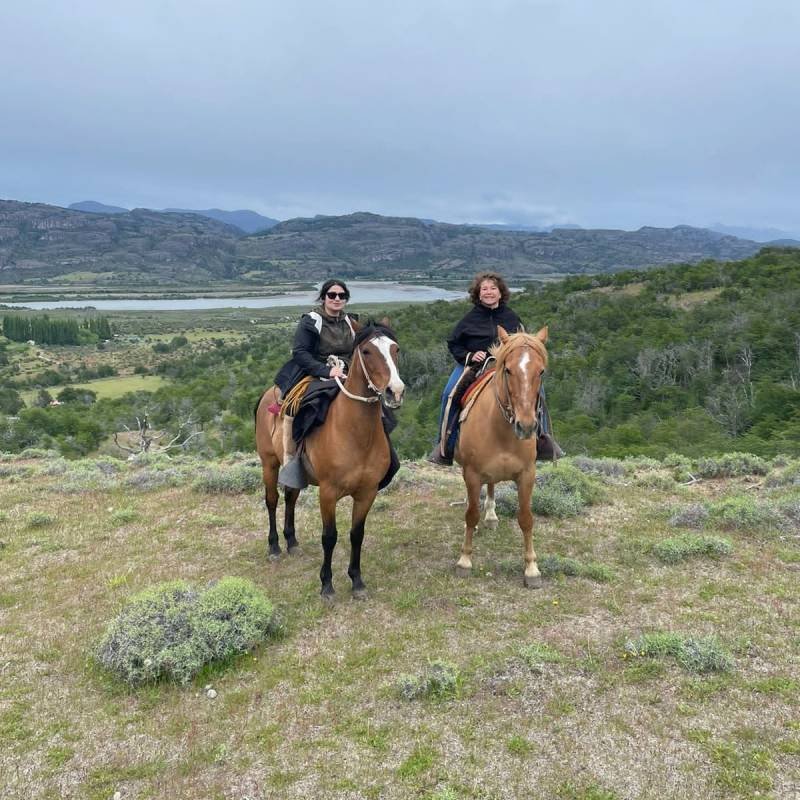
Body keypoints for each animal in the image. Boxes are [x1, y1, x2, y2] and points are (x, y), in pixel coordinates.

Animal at [255, 322, 406, 596]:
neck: (354, 434)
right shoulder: (327, 493)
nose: (395, 391)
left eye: (395, 349)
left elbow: (357, 534)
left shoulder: (367, 492)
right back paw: (274, 546)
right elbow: (330, 536)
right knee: (272, 500)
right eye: (366, 351)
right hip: (268, 463)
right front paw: (326, 584)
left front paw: (357, 581)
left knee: (290, 498)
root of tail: (267, 395)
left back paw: (291, 541)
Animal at [456, 324, 552, 588]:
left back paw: (491, 516)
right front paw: (464, 560)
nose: (526, 426)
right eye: (508, 370)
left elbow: (526, 518)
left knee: (491, 487)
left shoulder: (527, 475)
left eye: (541, 371)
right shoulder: (472, 473)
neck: (500, 431)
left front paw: (531, 569)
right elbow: (471, 515)